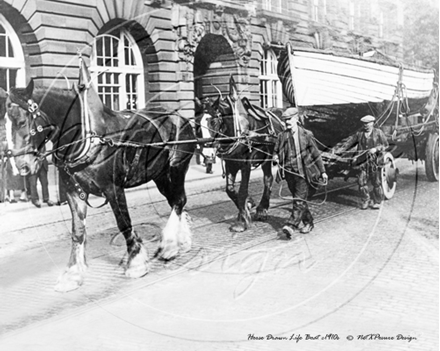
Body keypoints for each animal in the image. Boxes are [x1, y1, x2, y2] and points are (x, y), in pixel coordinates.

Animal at [6, 57, 196, 292]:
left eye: (22, 122)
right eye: (6, 121)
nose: (21, 165)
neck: (85, 137)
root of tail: (181, 118)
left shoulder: (113, 189)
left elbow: (124, 223)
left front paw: (135, 262)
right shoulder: (73, 191)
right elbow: (78, 231)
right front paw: (72, 273)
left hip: (176, 170)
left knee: (178, 200)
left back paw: (170, 244)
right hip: (160, 176)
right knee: (176, 201)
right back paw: (180, 241)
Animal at [204, 75, 284, 232]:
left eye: (213, 122)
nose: (207, 150)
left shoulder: (245, 164)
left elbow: (242, 191)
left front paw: (242, 221)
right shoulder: (230, 162)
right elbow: (230, 190)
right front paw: (247, 206)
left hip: (267, 157)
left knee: (268, 178)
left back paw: (262, 209)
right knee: (268, 178)